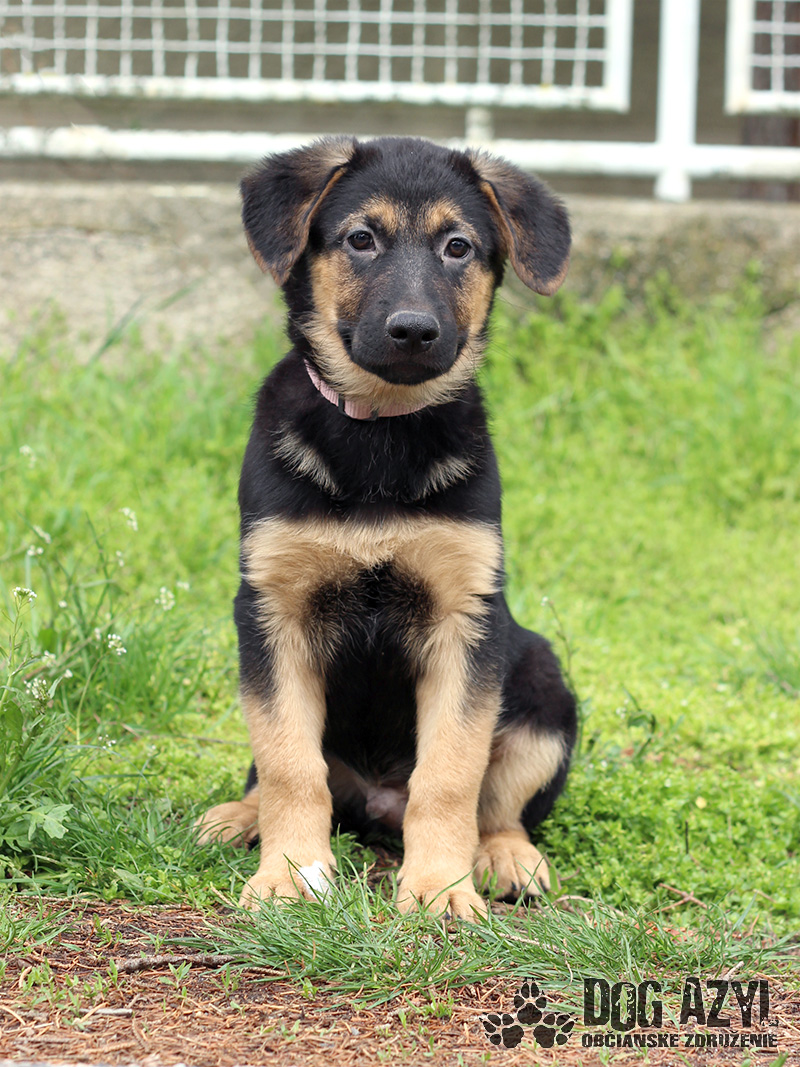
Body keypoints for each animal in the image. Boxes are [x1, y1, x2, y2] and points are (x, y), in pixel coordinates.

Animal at [196, 136, 577, 921]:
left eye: (458, 247)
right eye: (360, 240)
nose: (413, 332)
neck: (379, 431)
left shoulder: (465, 619)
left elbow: (452, 773)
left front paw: (440, 887)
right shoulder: (272, 611)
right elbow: (288, 763)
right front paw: (289, 874)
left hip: (543, 682)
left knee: (501, 805)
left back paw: (505, 857)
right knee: (274, 769)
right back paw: (242, 817)